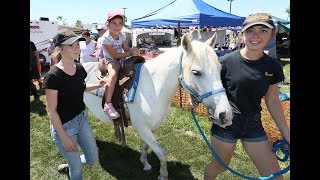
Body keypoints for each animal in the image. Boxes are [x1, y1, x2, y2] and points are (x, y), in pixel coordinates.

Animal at [82, 33, 232, 180]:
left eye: (220, 69)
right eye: (196, 72)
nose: (225, 115)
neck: (152, 86)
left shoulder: (152, 128)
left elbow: (146, 147)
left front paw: (145, 163)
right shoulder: (142, 128)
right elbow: (162, 153)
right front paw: (163, 175)